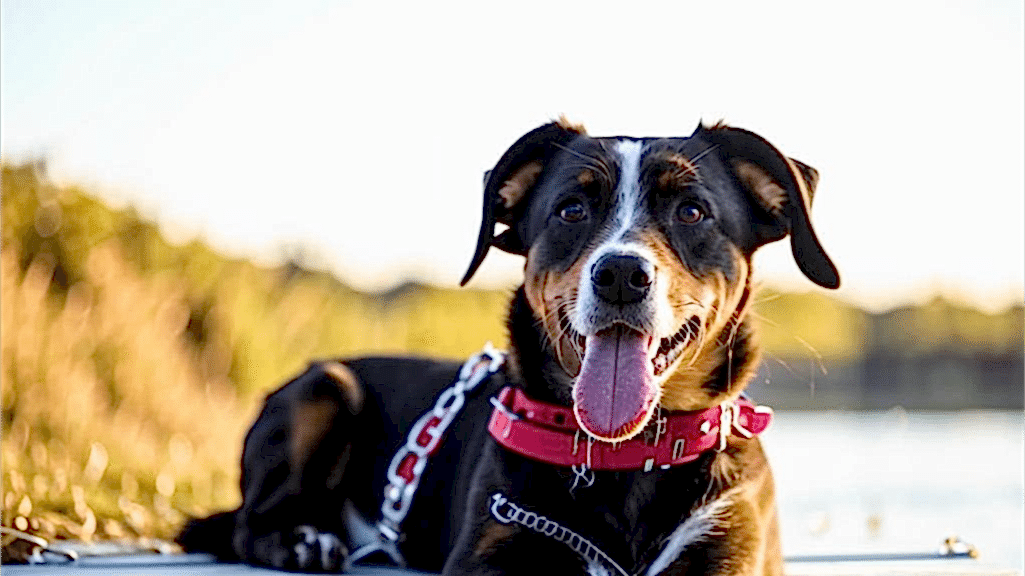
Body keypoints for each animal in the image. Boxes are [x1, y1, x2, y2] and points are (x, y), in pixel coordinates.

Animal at [177, 119, 839, 575]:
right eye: (570, 209)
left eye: (693, 211)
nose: (621, 274)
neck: (625, 460)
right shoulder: (490, 550)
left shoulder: (727, 546)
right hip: (326, 387)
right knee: (245, 525)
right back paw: (303, 539)